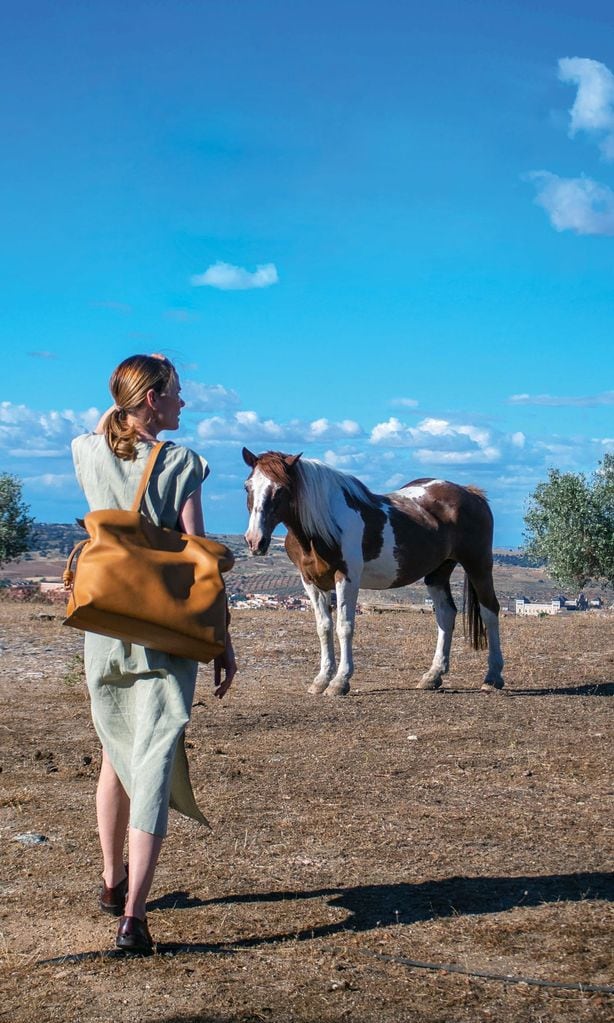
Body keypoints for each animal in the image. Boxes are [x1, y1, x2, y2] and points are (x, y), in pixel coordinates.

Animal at [239, 448, 503, 695]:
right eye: (247, 487)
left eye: (280, 489)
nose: (255, 541)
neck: (322, 526)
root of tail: (471, 493)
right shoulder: (310, 581)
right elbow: (324, 627)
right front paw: (321, 679)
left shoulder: (346, 577)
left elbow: (344, 626)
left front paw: (340, 681)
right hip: (438, 573)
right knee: (446, 615)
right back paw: (432, 676)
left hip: (478, 565)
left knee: (490, 611)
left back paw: (493, 676)